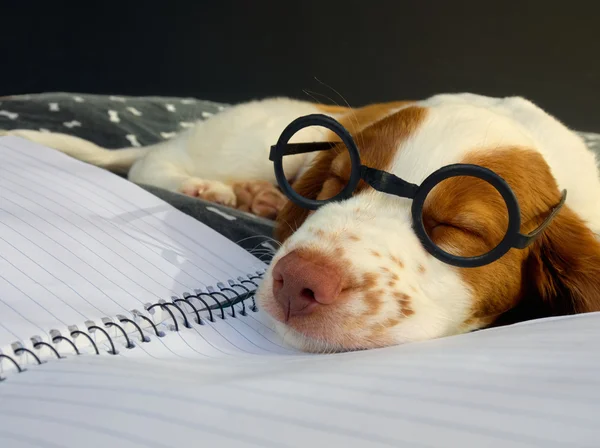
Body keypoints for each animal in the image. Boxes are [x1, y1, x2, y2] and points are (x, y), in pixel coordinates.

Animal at [7, 93, 600, 354]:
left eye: (461, 229)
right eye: (336, 183)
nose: (297, 282)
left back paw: (259, 197)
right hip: (255, 135)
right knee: (149, 161)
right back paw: (211, 189)